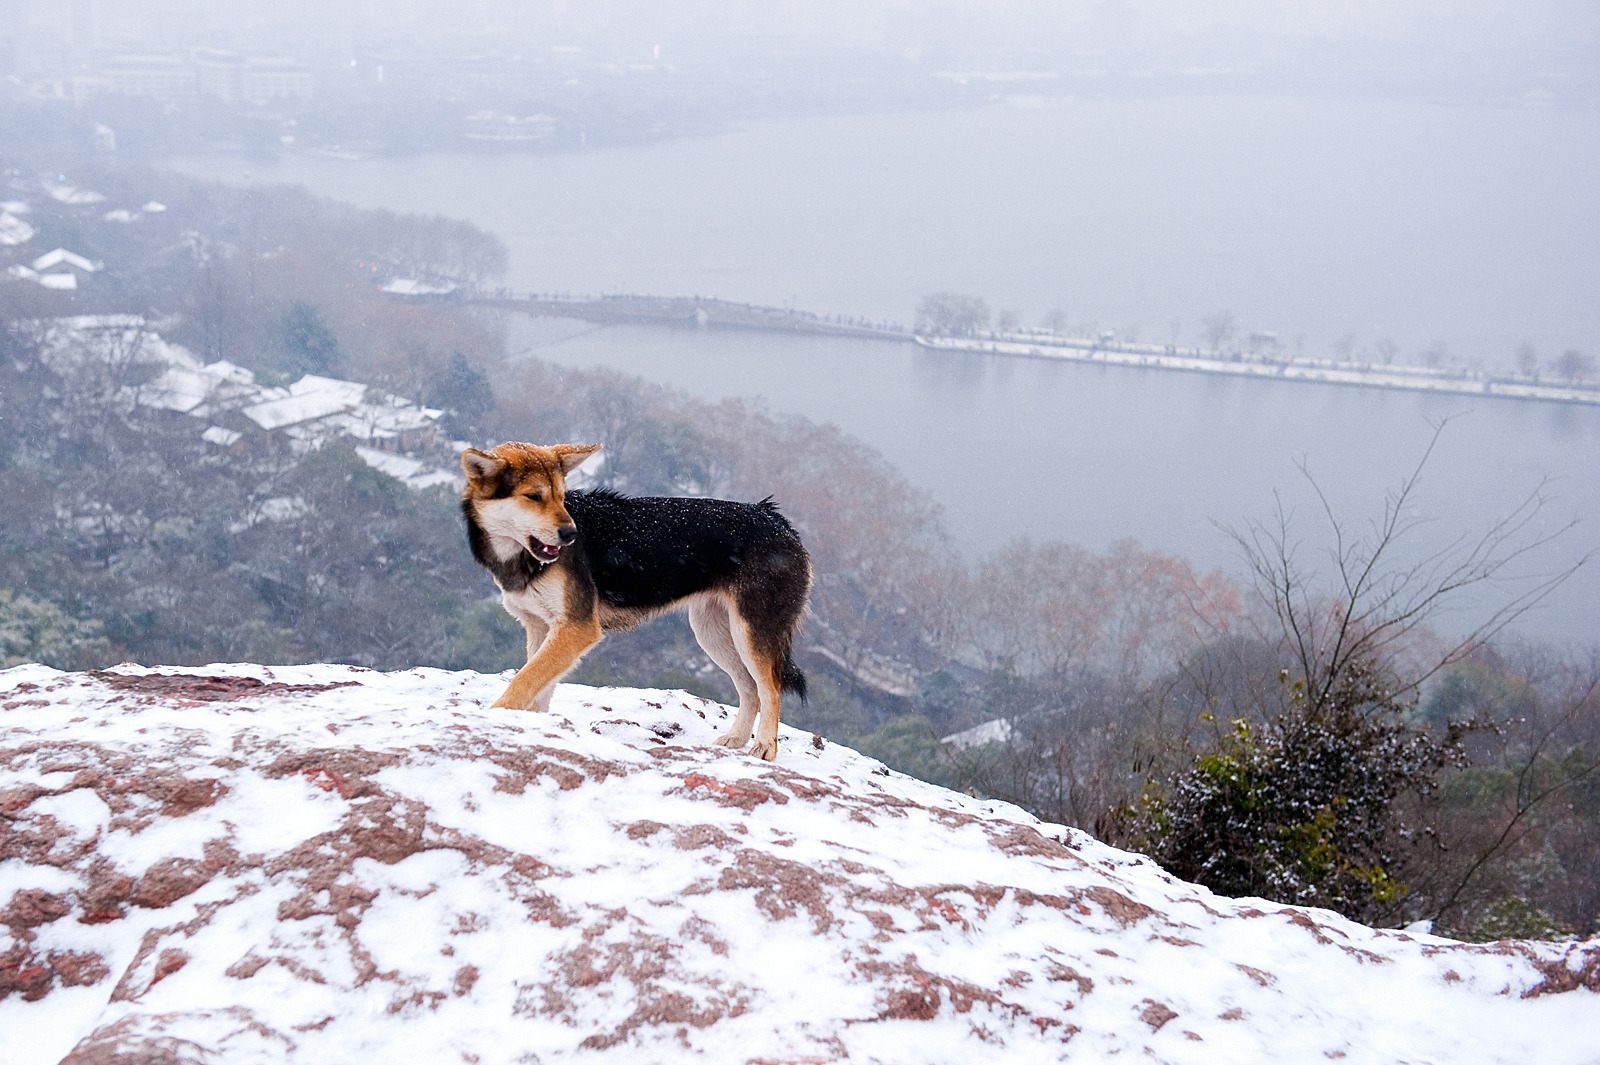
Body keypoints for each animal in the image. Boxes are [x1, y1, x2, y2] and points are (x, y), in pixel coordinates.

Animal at [464, 438, 812, 754]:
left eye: (562, 498)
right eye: (533, 497)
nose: (572, 535)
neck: (520, 558)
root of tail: (777, 520)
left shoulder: (577, 628)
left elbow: (523, 680)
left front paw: (496, 715)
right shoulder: (542, 628)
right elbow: (538, 688)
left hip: (750, 636)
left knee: (771, 689)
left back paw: (765, 747)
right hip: (714, 634)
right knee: (751, 689)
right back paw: (735, 740)